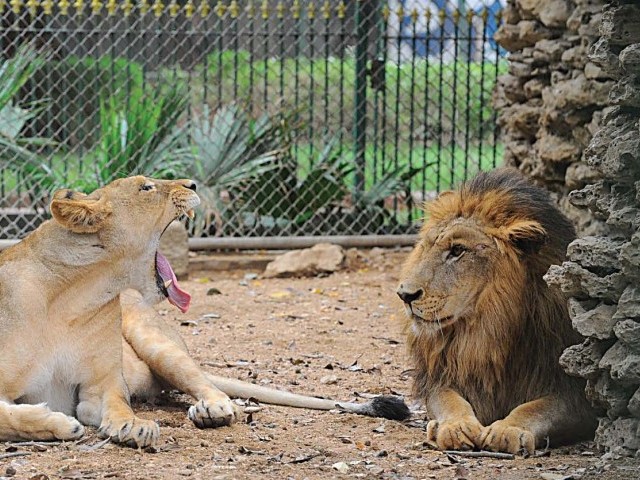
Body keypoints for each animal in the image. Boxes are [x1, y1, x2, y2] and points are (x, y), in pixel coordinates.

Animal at [0, 177, 408, 450]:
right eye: (146, 187)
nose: (192, 182)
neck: (74, 297)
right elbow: (6, 415)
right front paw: (58, 423)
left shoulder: (101, 385)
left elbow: (117, 403)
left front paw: (134, 426)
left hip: (155, 342)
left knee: (209, 387)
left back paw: (212, 409)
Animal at [398, 168, 596, 454]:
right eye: (426, 246)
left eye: (457, 250)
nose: (404, 294)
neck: (490, 329)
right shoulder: (444, 378)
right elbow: (449, 400)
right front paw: (454, 426)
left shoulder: (576, 392)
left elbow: (537, 408)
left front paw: (508, 429)